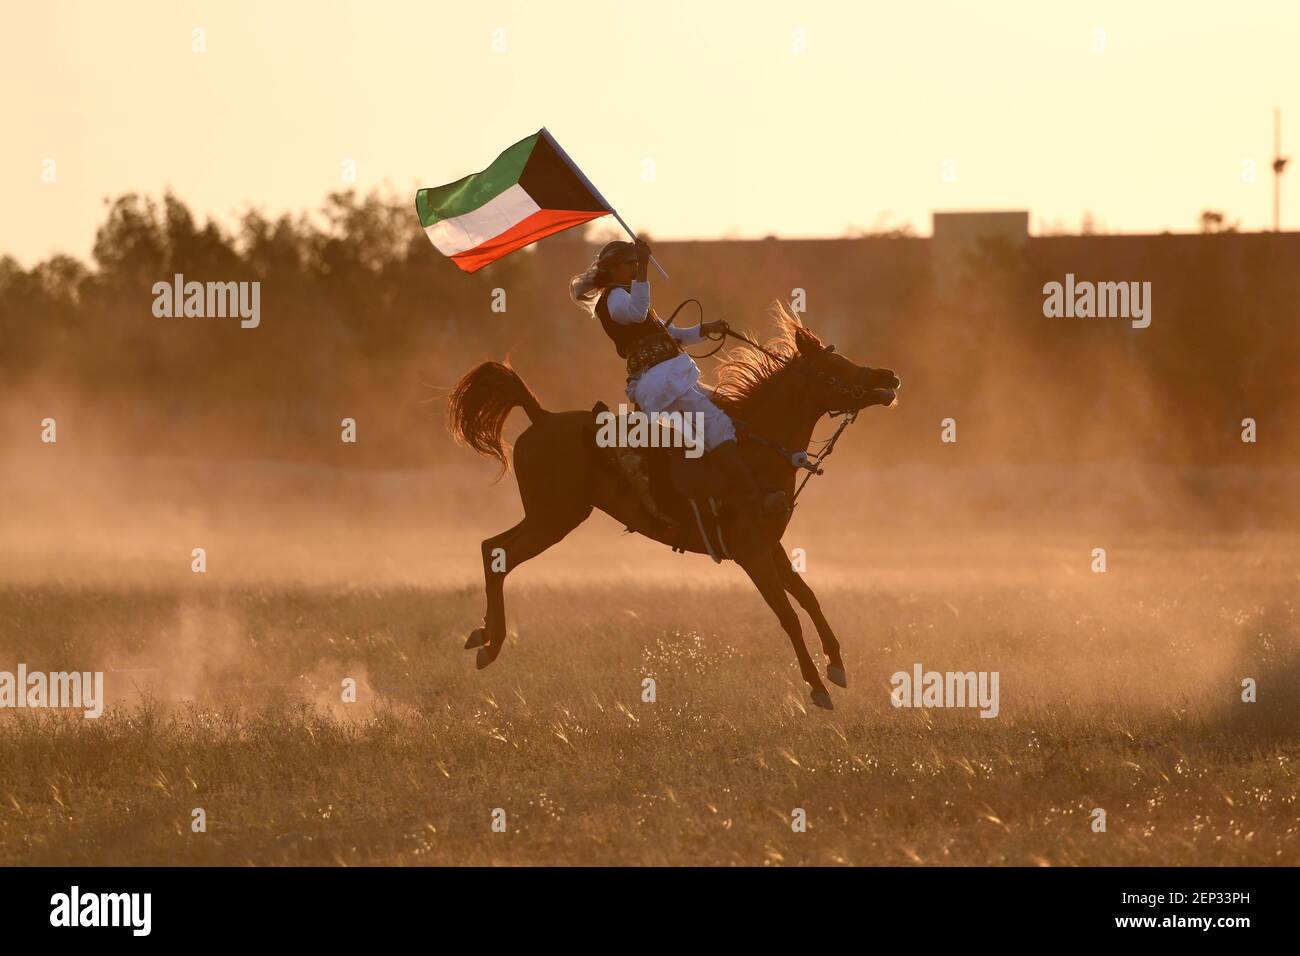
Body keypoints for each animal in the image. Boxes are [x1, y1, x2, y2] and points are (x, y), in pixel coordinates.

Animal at [441, 306, 899, 712]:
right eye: (835, 367)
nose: (888, 376)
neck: (753, 451)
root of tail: (541, 416)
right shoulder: (752, 554)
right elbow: (788, 615)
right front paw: (817, 687)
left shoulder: (773, 547)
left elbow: (808, 598)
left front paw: (836, 665)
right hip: (553, 518)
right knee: (498, 553)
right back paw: (490, 644)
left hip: (548, 517)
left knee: (492, 549)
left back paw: (484, 638)